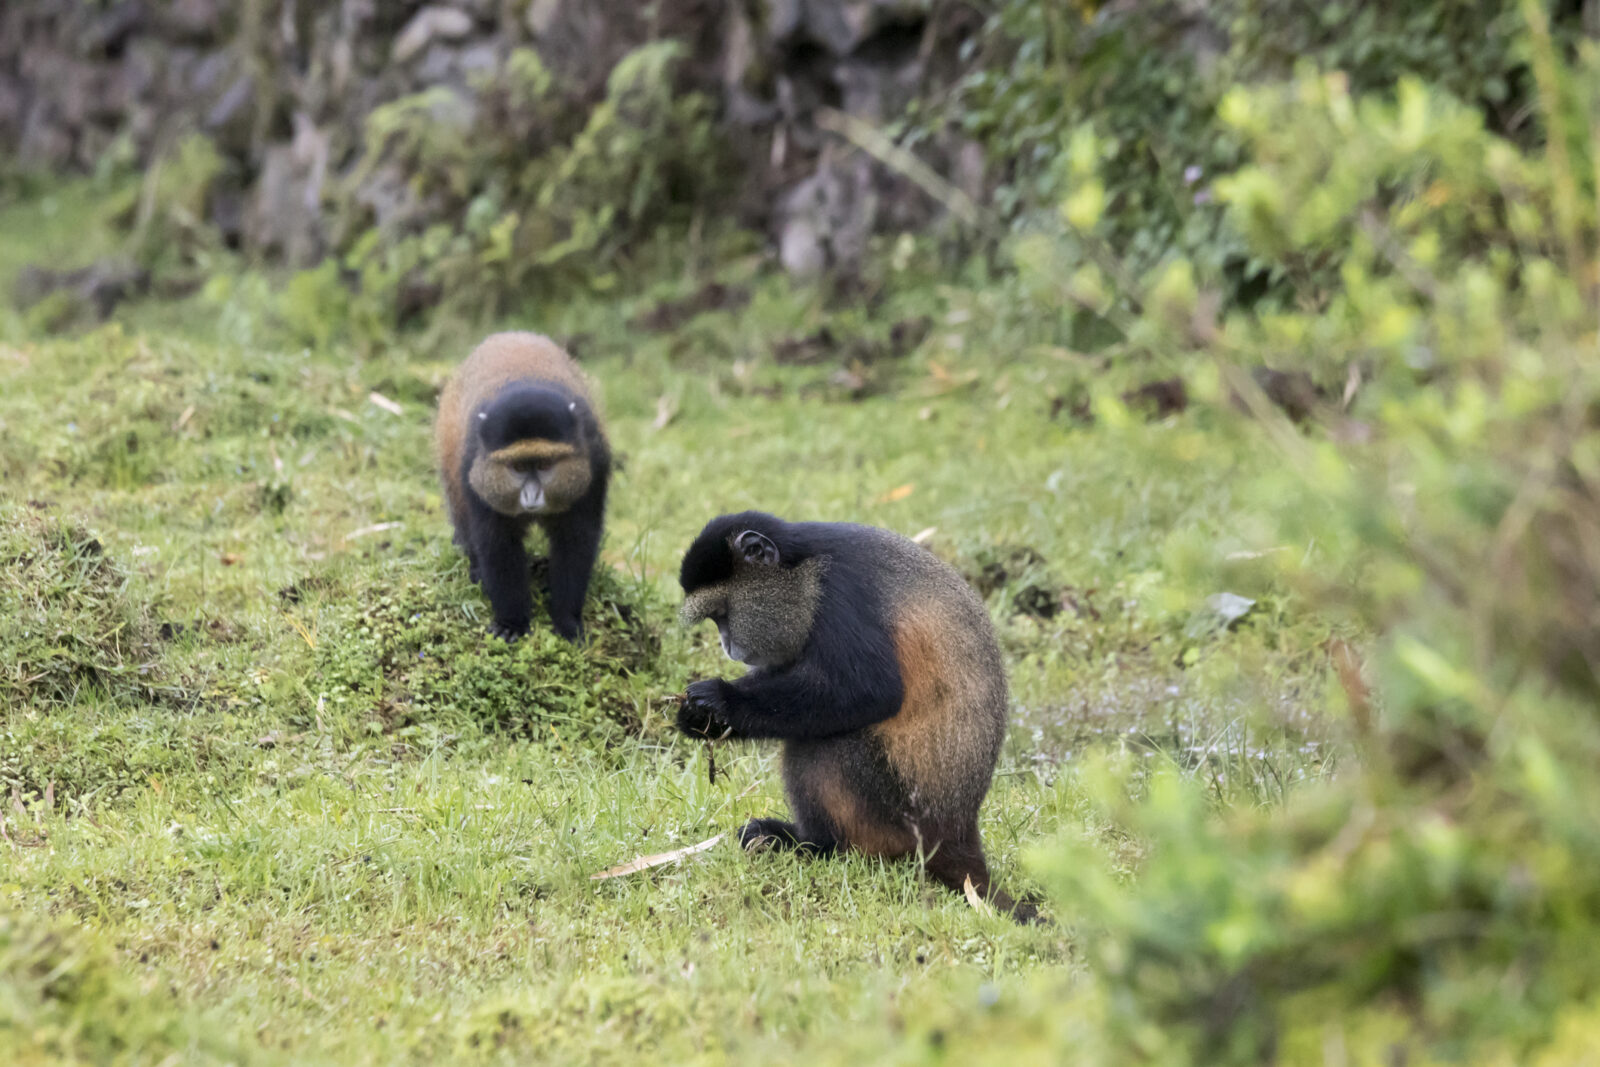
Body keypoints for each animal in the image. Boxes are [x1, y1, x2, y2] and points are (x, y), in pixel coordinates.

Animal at [434, 332, 610, 642]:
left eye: (544, 465)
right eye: (517, 468)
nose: (531, 495)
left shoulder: (593, 463)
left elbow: (576, 540)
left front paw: (567, 621)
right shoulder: (475, 472)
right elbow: (496, 543)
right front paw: (511, 622)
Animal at [675, 510, 1040, 922]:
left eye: (723, 615)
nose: (727, 645)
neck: (805, 566)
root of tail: (958, 830)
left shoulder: (840, 596)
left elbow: (868, 690)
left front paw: (720, 701)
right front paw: (698, 719)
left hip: (893, 813)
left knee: (820, 746)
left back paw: (816, 846)